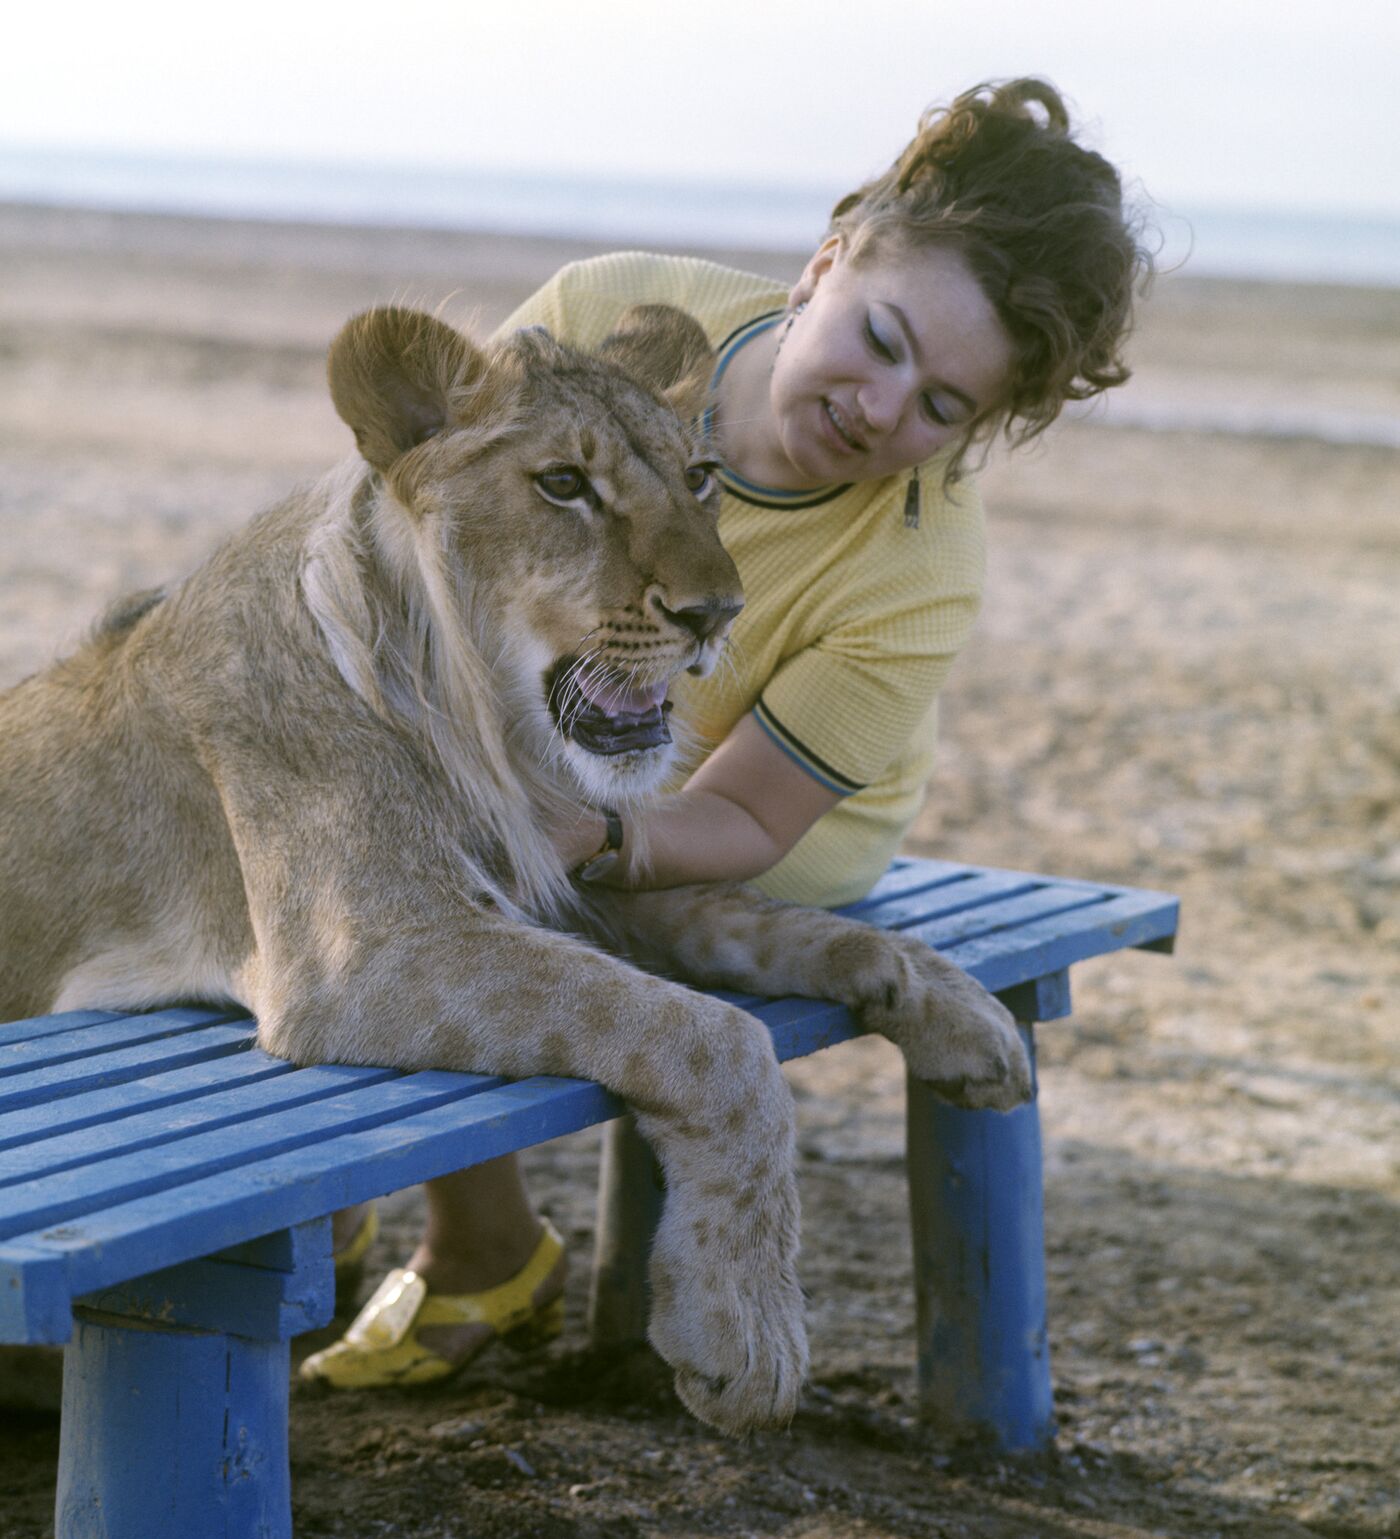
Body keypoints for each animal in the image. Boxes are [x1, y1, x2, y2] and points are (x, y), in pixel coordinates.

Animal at [0, 300, 1027, 1428]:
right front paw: (744, 1328)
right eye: (563, 485)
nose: (715, 613)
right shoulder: (362, 955)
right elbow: (712, 1033)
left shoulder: (566, 872)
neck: (477, 722)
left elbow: (767, 921)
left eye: (699, 476)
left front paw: (956, 1008)